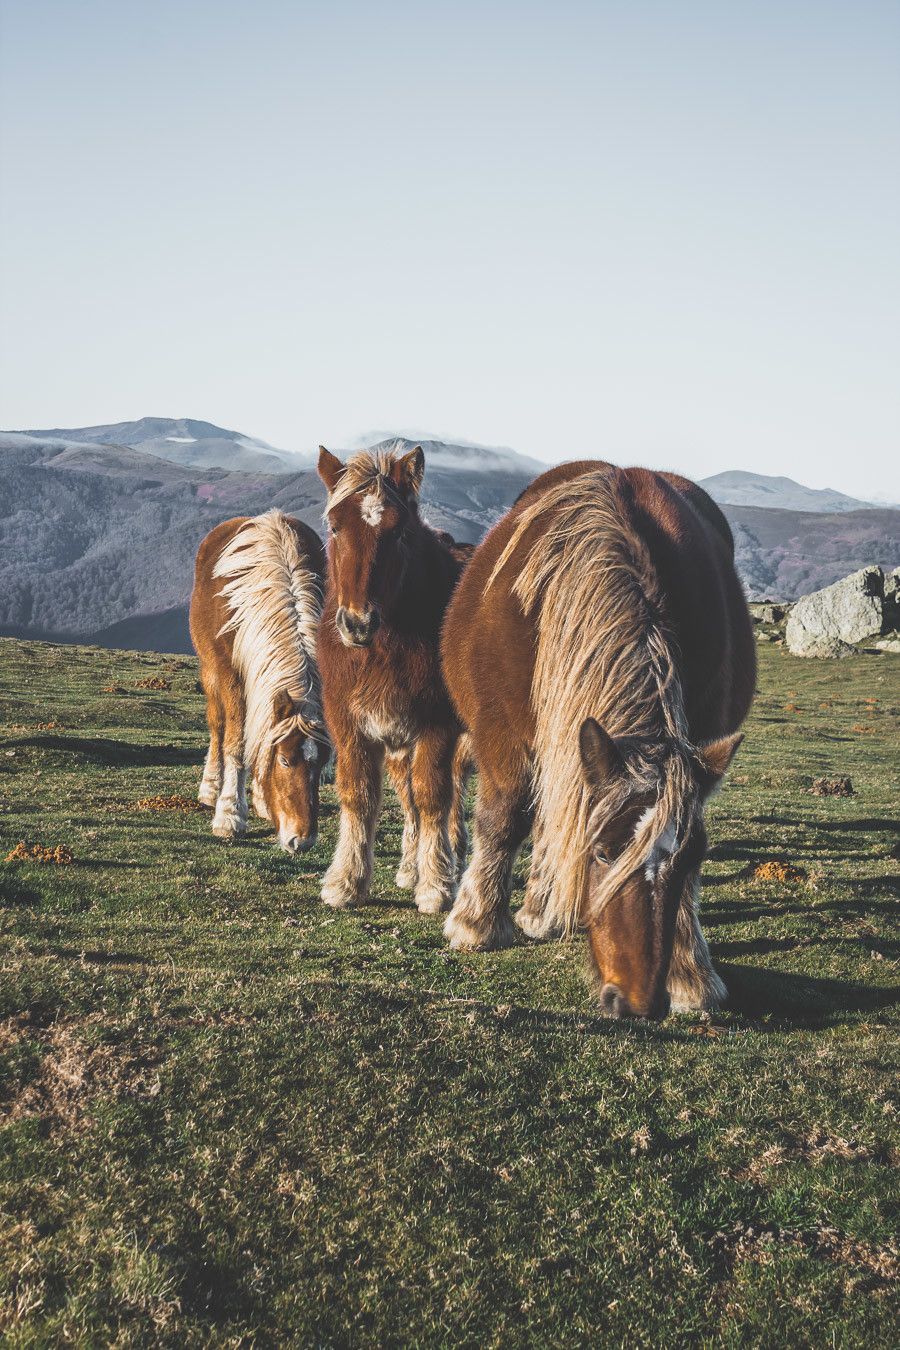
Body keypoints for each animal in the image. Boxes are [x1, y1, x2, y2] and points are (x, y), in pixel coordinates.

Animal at [191, 510, 330, 847]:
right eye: (285, 761)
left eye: (322, 763)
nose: (302, 840)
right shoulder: (231, 678)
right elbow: (236, 743)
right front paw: (229, 815)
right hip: (210, 671)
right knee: (218, 725)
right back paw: (210, 788)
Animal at [317, 448, 472, 912]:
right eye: (335, 527)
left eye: (399, 532)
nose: (357, 623)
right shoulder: (350, 722)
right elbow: (359, 795)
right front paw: (346, 882)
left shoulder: (438, 726)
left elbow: (433, 796)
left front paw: (436, 885)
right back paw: (409, 866)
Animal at [439, 459, 755, 1015]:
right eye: (603, 853)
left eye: (693, 857)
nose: (637, 1002)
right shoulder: (503, 735)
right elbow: (503, 819)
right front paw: (475, 924)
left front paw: (691, 975)